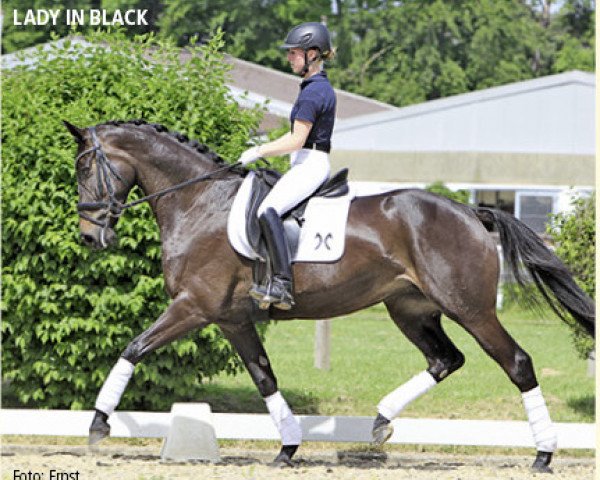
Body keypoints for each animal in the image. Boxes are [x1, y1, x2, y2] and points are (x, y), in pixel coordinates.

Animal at [63, 118, 592, 470]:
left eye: (86, 167)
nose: (89, 236)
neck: (198, 203)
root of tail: (470, 211)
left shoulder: (194, 305)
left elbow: (133, 347)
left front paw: (98, 423)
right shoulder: (232, 318)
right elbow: (265, 378)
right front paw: (288, 446)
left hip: (470, 308)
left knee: (516, 363)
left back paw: (544, 453)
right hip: (409, 308)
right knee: (446, 359)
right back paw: (380, 421)